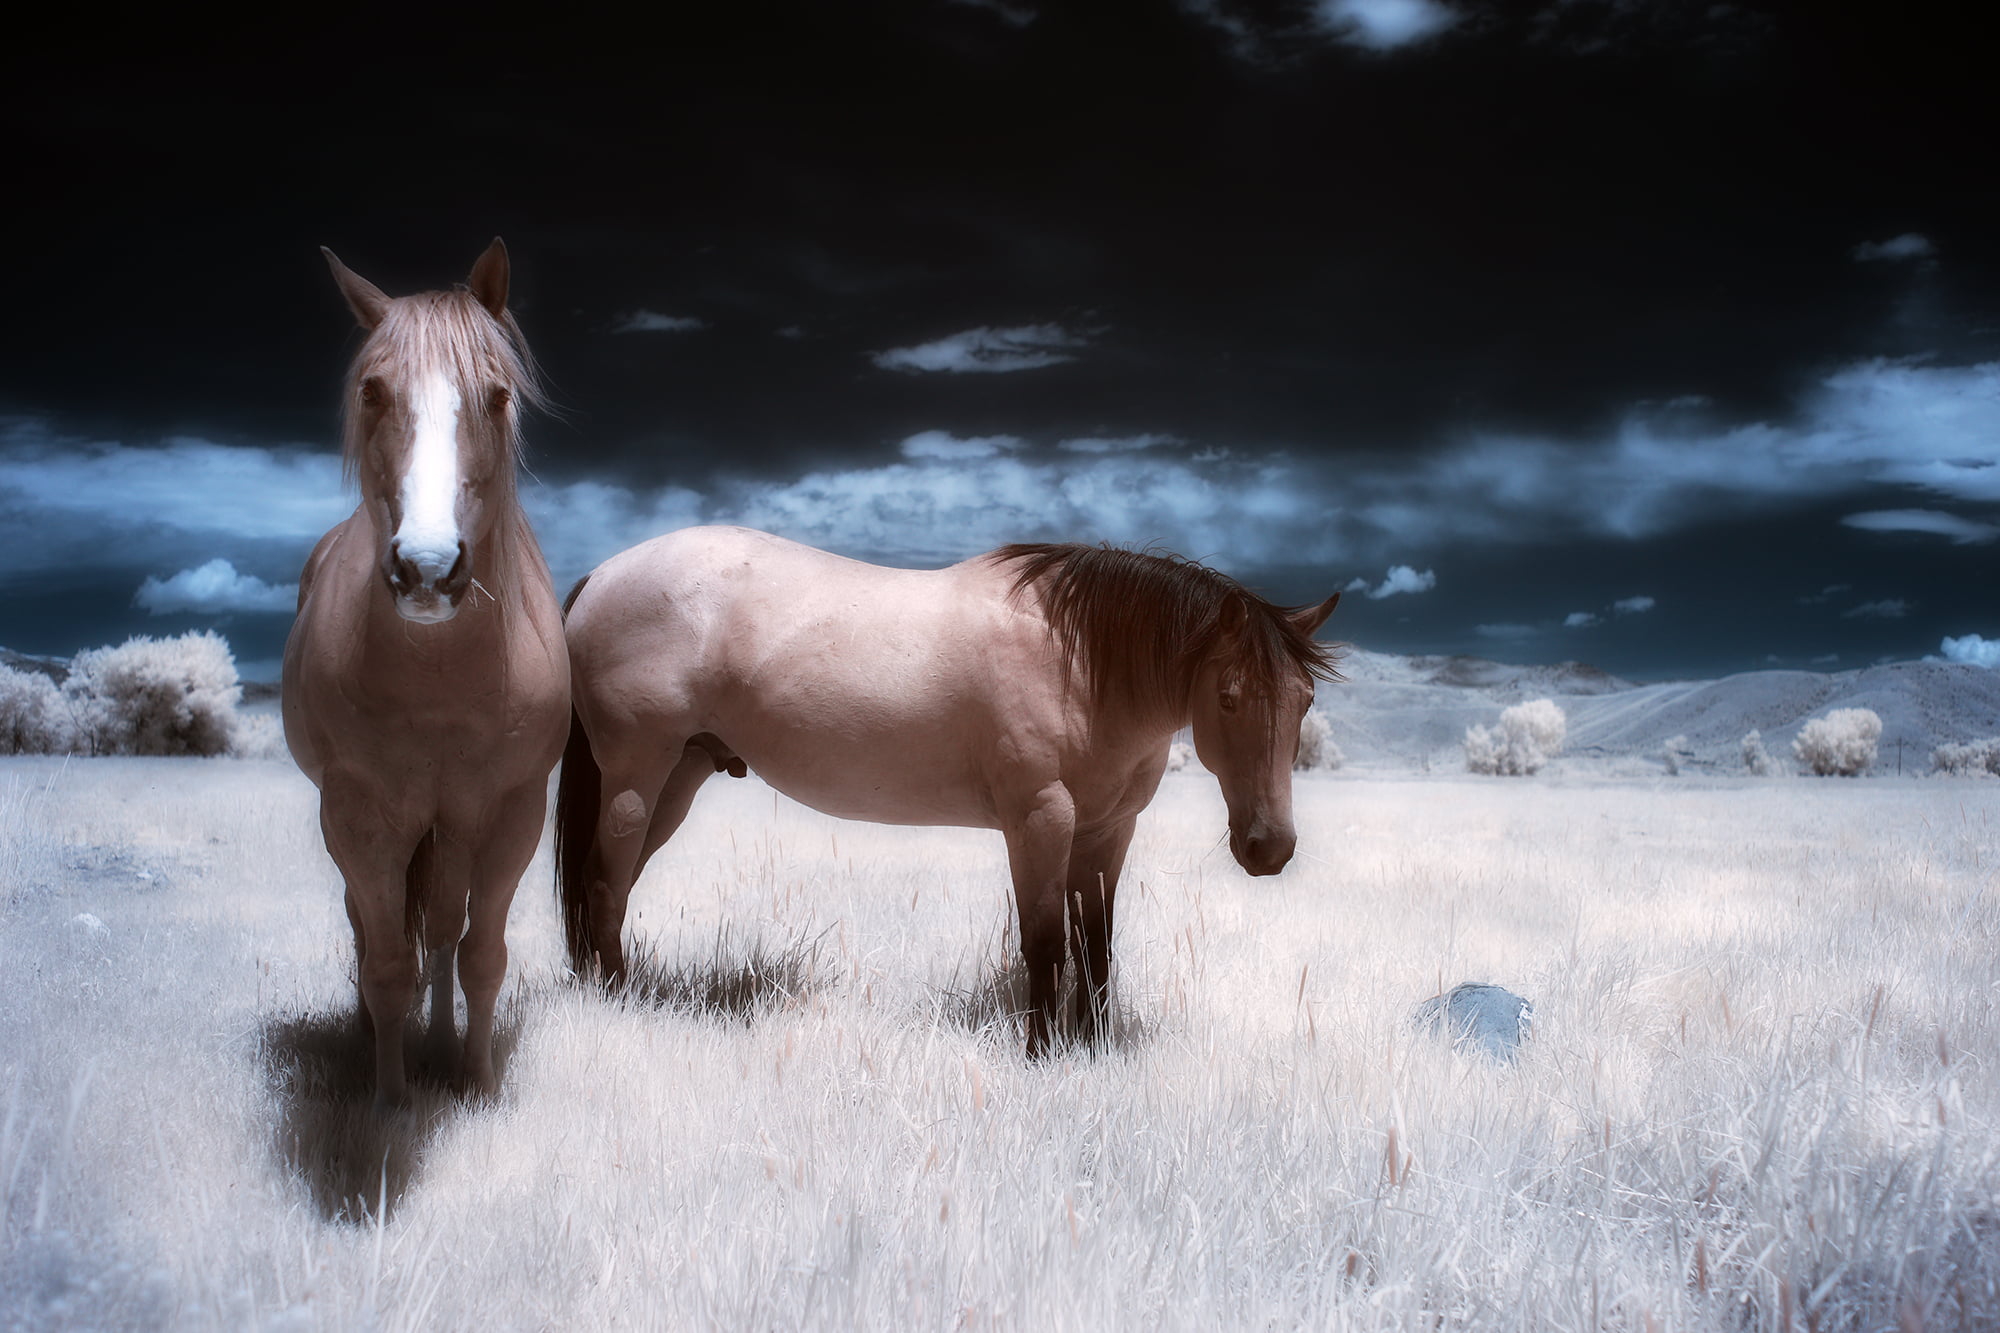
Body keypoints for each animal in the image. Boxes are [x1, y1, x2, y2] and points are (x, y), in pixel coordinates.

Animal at [282, 240, 570, 1106]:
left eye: (498, 396)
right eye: (374, 391)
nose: (429, 570)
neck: (444, 683)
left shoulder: (511, 812)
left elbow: (479, 953)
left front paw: (475, 1078)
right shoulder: (358, 817)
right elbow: (383, 960)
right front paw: (389, 1096)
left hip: (452, 824)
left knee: (442, 928)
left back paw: (439, 1043)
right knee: (370, 926)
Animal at [554, 526, 1340, 1055]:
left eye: (1303, 699)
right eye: (1230, 697)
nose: (1269, 848)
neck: (1080, 661)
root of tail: (601, 575)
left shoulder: (1106, 832)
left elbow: (1098, 945)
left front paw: (1091, 1047)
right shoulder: (1039, 821)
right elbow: (1046, 942)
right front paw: (1042, 1055)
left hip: (678, 776)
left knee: (608, 888)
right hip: (637, 776)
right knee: (603, 885)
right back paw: (617, 1007)